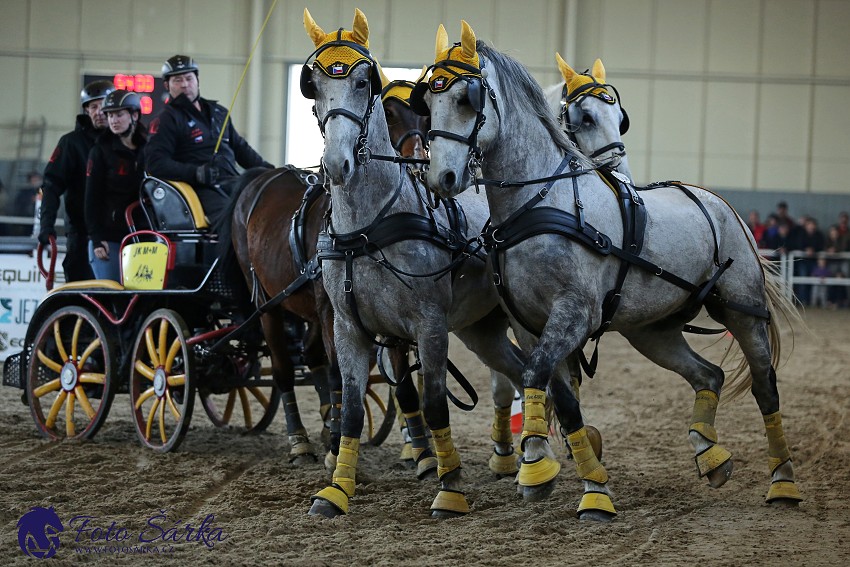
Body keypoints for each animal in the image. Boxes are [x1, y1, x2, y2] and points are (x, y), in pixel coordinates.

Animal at [296, 8, 524, 520]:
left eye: (364, 82)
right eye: (312, 85)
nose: (337, 163)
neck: (369, 228)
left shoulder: (429, 326)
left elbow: (435, 403)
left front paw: (449, 486)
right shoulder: (348, 328)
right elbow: (353, 408)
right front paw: (337, 489)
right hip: (483, 329)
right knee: (522, 372)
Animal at [418, 21, 800, 520]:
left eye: (468, 98)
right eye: (428, 102)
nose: (441, 178)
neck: (540, 202)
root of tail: (720, 203)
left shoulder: (574, 313)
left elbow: (534, 375)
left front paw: (537, 466)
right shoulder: (528, 324)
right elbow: (557, 393)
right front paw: (581, 482)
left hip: (742, 311)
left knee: (764, 388)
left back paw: (783, 481)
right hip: (652, 330)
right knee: (708, 376)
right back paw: (709, 454)